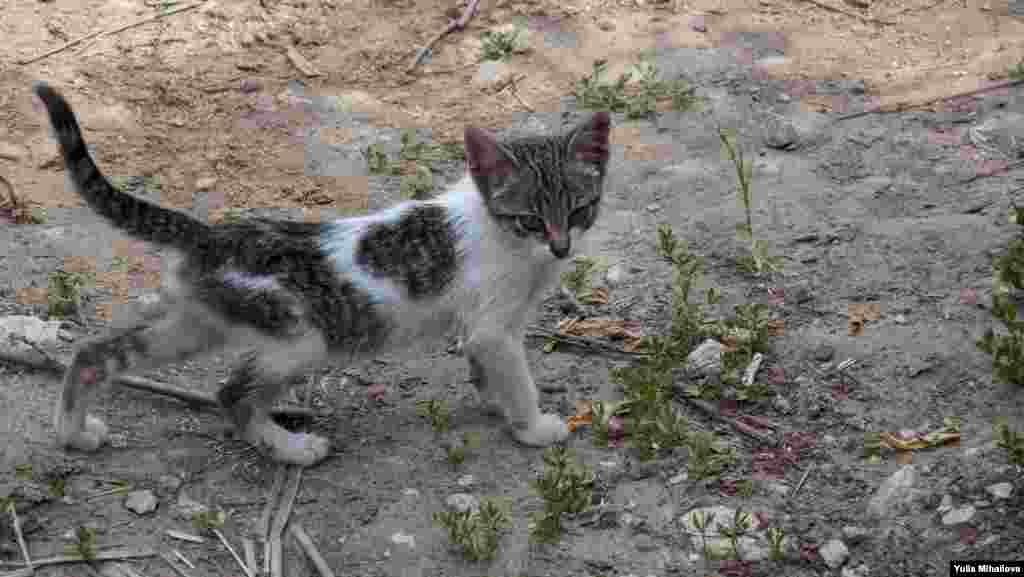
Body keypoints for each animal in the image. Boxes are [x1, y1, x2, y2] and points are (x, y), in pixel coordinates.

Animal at [29, 81, 606, 467]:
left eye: (580, 210)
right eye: (530, 219)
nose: (560, 247)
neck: (498, 231)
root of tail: (212, 235)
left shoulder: (487, 327)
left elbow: (487, 371)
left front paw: (495, 405)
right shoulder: (494, 326)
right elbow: (516, 377)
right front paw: (532, 425)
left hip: (197, 322)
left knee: (95, 354)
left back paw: (73, 434)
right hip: (300, 340)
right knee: (230, 394)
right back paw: (293, 448)